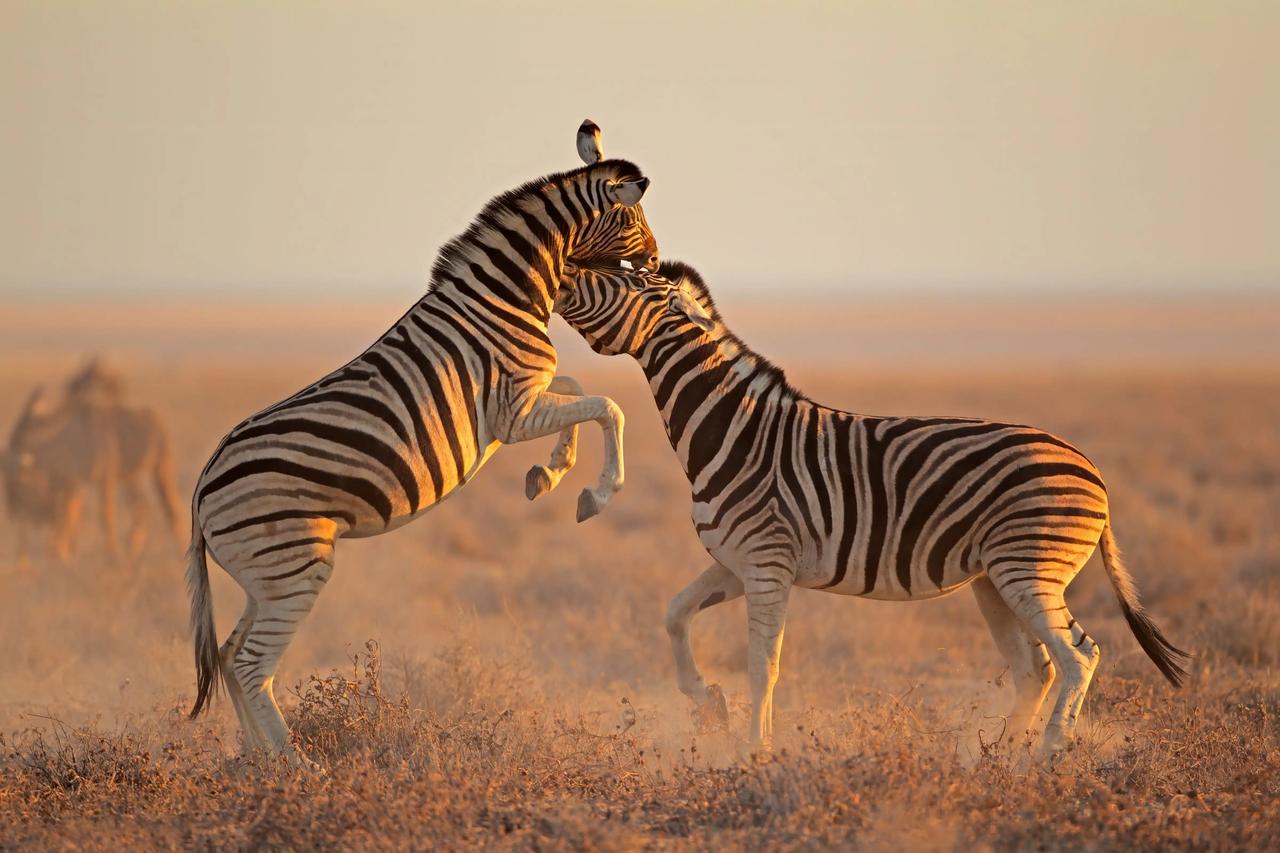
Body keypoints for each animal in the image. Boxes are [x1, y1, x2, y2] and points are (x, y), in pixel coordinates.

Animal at [186, 134, 658, 767]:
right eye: (636, 219)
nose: (657, 260)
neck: (504, 297)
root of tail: (200, 490)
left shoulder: (528, 397)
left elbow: (579, 387)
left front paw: (548, 473)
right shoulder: (513, 412)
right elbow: (608, 406)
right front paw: (595, 493)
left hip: (261, 575)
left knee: (229, 656)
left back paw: (258, 762)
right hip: (294, 565)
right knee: (249, 663)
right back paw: (298, 767)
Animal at [548, 259, 1189, 753]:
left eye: (619, 280)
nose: (561, 273)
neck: (733, 430)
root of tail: (1094, 471)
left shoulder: (767, 562)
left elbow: (762, 664)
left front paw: (755, 751)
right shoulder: (736, 562)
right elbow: (675, 613)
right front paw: (709, 703)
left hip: (1028, 569)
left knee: (1079, 656)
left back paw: (1046, 756)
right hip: (995, 579)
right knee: (1037, 670)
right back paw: (996, 760)